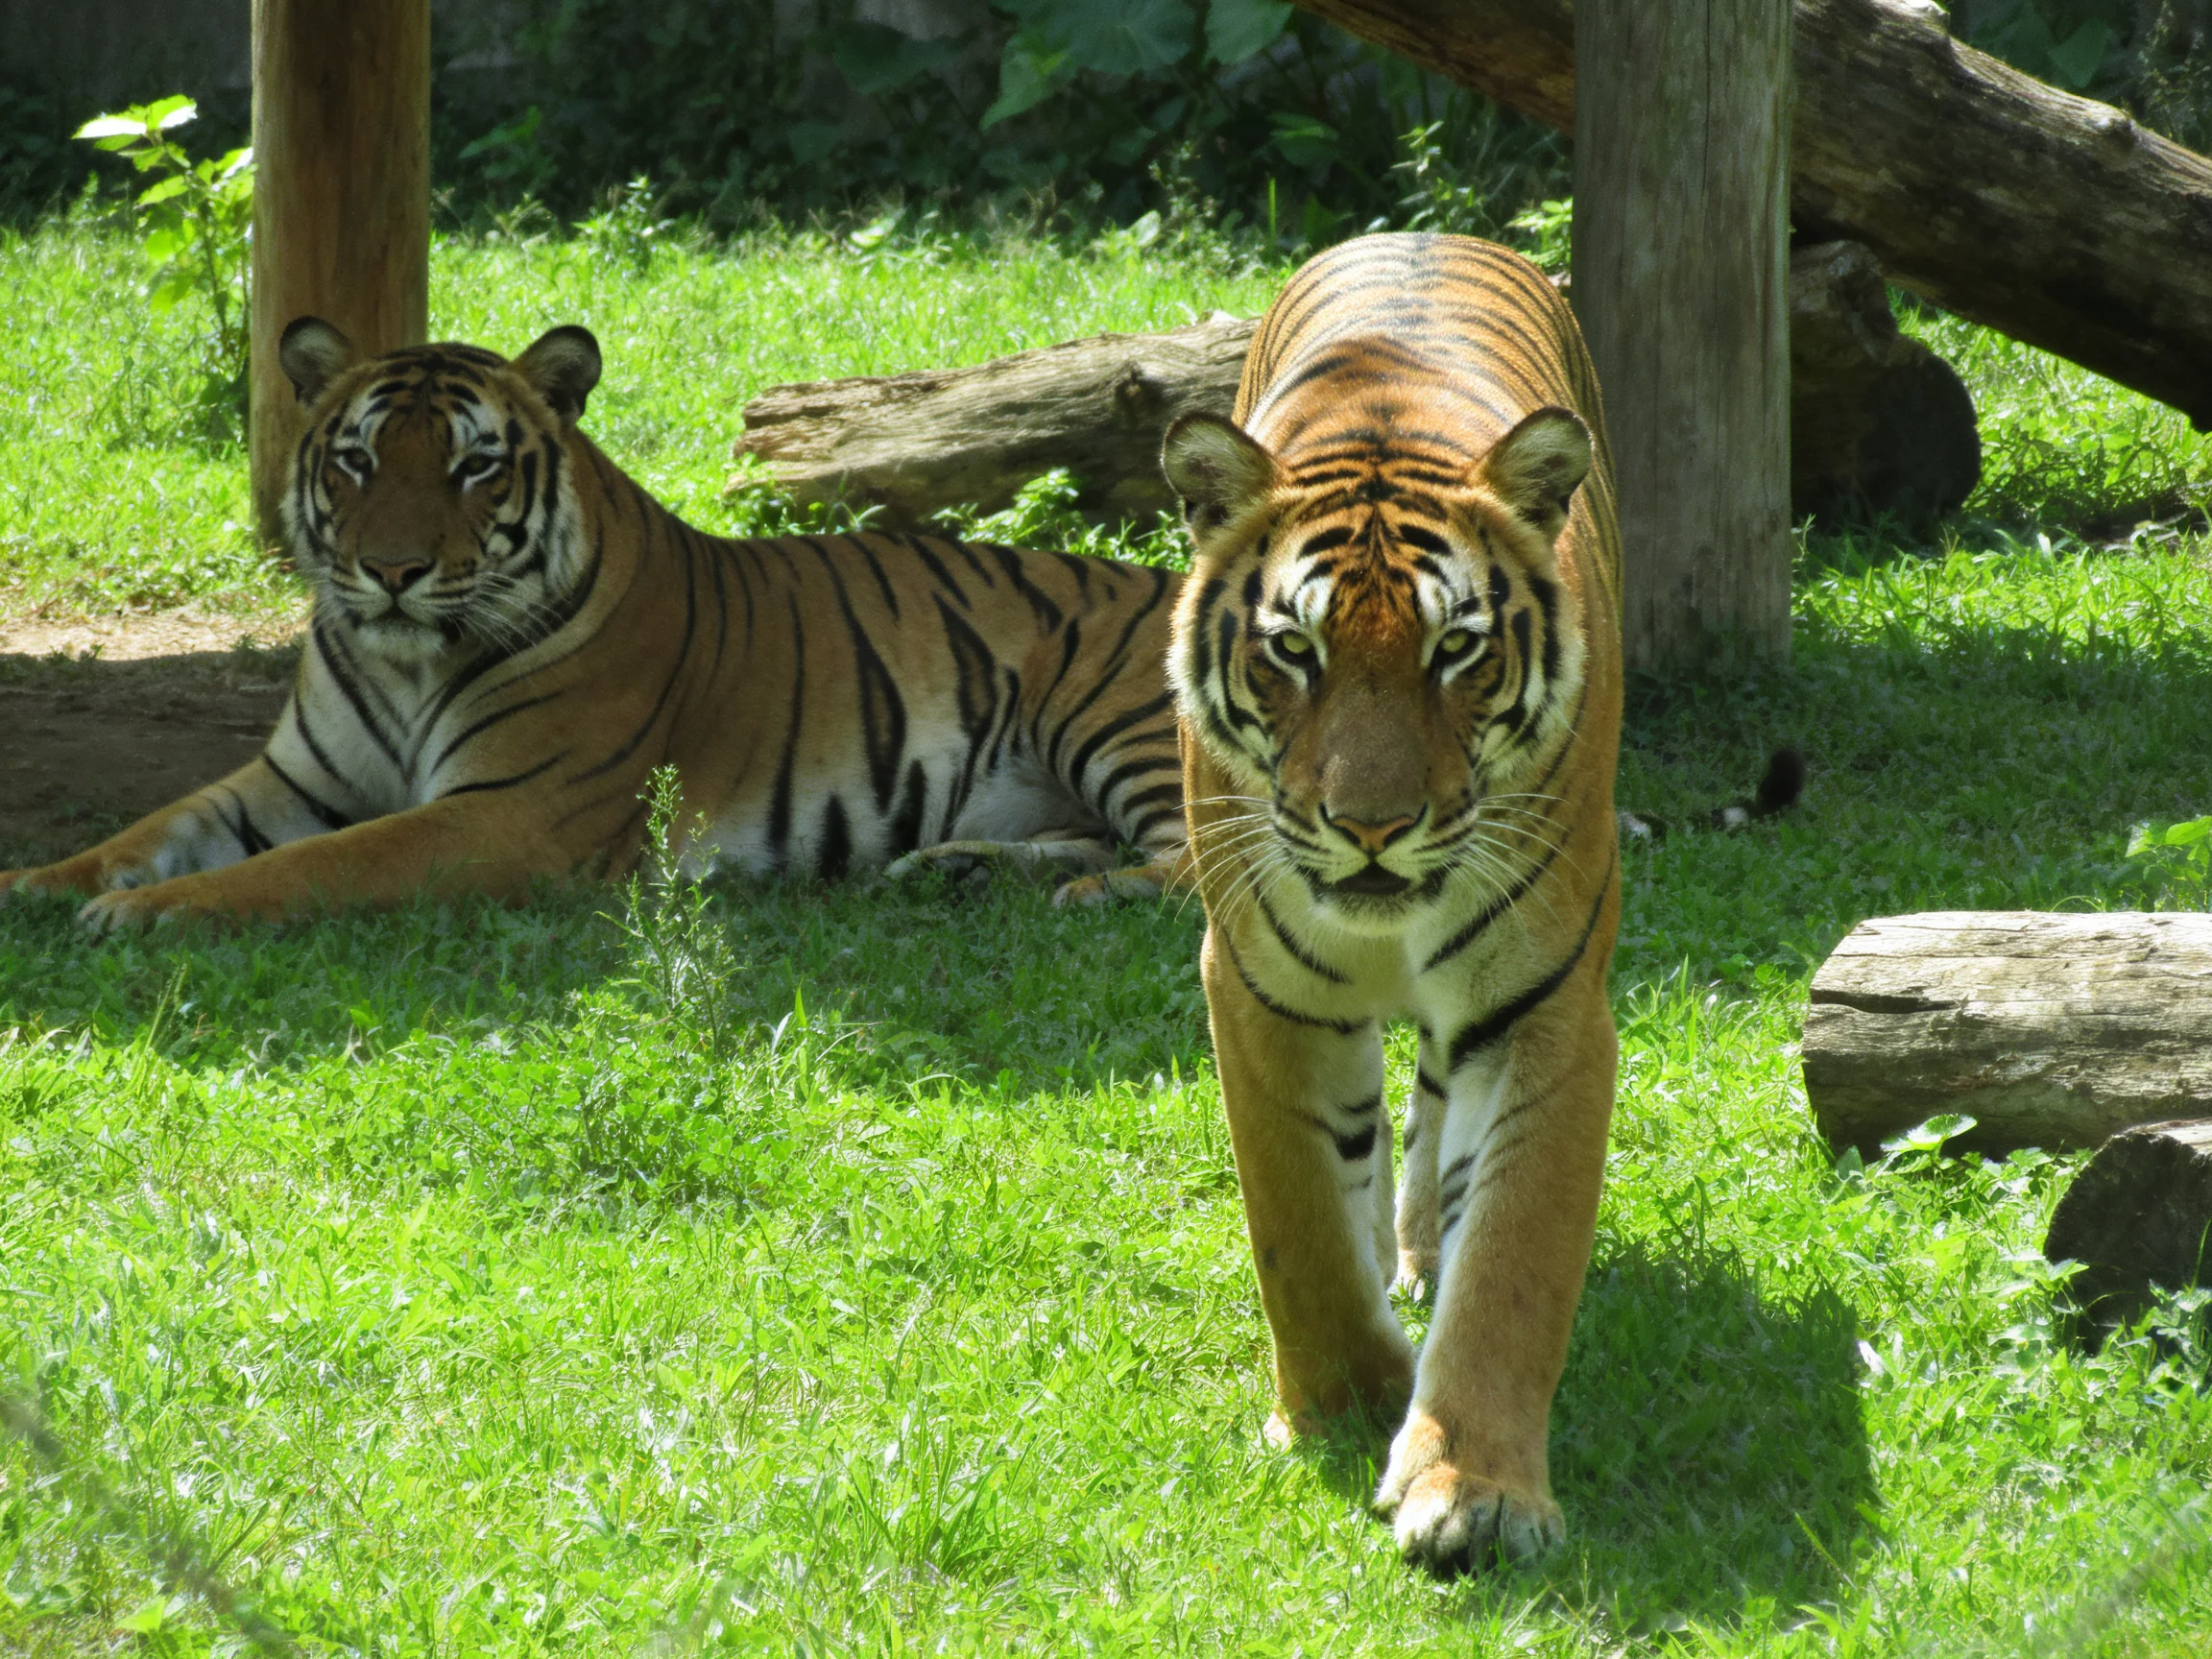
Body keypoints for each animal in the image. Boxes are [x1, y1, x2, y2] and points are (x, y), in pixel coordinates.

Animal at [0, 319, 1187, 928]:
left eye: (475, 467)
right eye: (358, 460)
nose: (392, 570)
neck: (402, 664)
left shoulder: (508, 813)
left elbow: (305, 869)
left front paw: (148, 914)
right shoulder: (292, 781)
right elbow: (146, 833)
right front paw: (33, 887)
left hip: (1117, 716)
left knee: (1196, 870)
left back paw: (1090, 894)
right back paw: (959, 869)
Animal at [1159, 232, 1624, 1574]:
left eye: (1455, 650)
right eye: (1293, 650)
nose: (1371, 826)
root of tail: (1417, 232)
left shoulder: (1546, 1004)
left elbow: (1514, 1256)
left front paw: (1475, 1488)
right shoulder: (1259, 990)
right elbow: (1300, 1229)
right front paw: (1348, 1404)